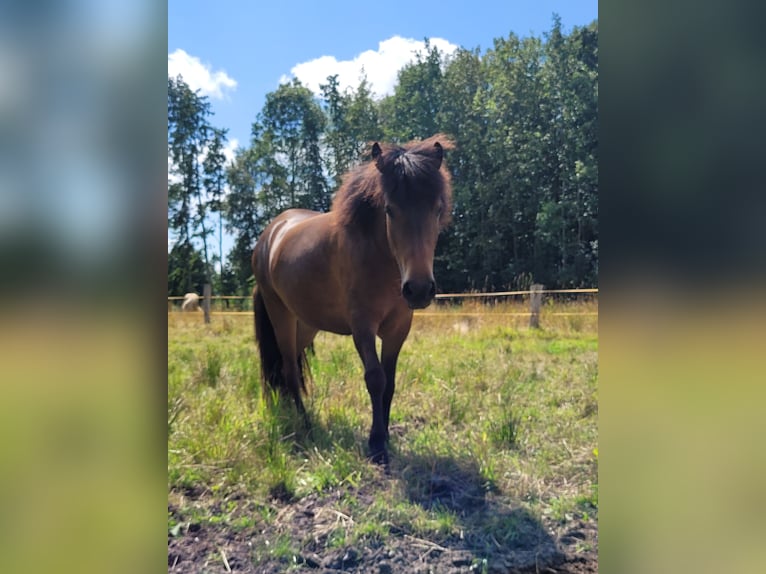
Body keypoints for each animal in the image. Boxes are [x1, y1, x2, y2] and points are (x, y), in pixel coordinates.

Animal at [252, 134, 456, 464]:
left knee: (287, 367)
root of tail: (269, 237)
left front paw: (385, 435)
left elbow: (390, 381)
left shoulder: (399, 329)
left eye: (437, 209)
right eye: (389, 210)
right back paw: (305, 425)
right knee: (289, 369)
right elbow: (375, 378)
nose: (419, 289)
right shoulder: (362, 326)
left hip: (305, 324)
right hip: (280, 314)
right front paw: (376, 443)